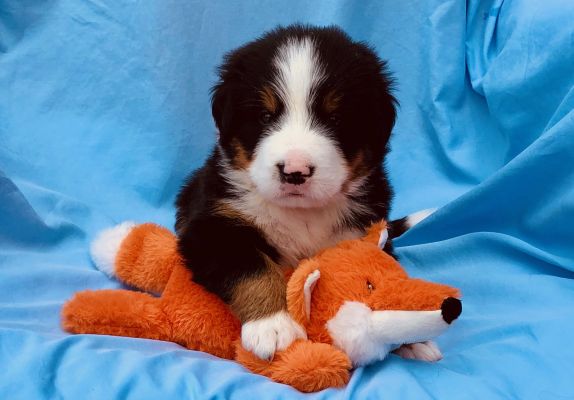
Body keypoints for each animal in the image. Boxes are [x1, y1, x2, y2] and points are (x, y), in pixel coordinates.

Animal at [176, 25, 432, 362]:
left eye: (335, 119)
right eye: (264, 116)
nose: (294, 171)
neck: (302, 214)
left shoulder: (366, 231)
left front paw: (413, 333)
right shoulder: (212, 228)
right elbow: (252, 266)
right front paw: (272, 325)